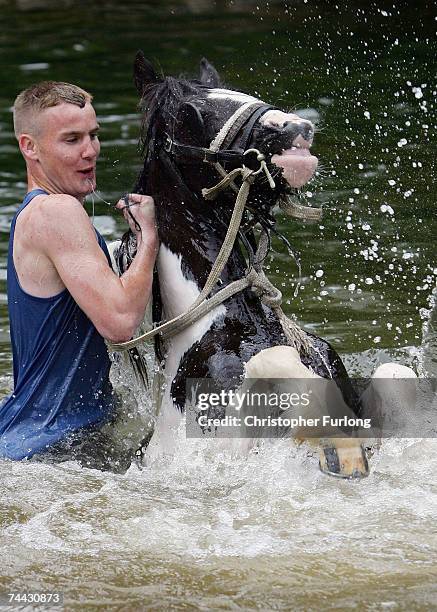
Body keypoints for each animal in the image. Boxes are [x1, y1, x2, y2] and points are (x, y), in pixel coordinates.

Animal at [108, 53, 412, 478]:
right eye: (189, 113)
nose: (297, 129)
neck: (236, 321)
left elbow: (395, 374)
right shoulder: (217, 446)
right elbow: (275, 361)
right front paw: (339, 448)